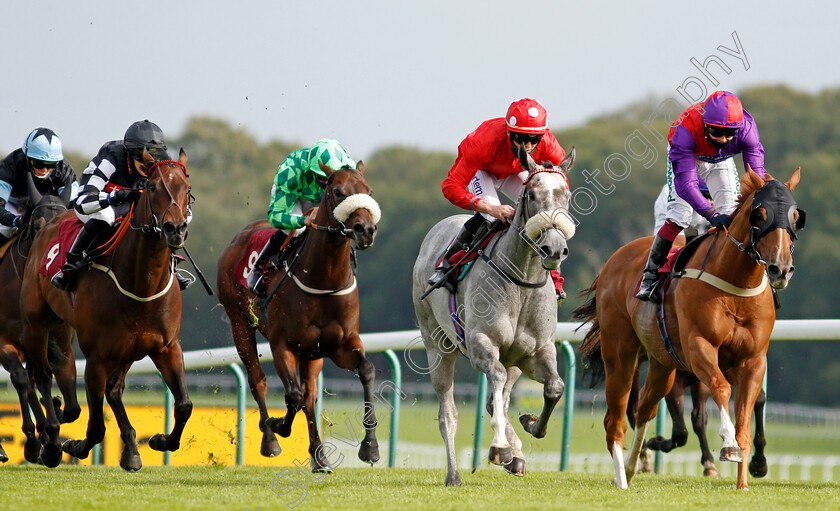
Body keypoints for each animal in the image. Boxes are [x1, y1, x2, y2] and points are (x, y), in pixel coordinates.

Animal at [0, 173, 79, 464]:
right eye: (37, 225)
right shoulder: (5, 341)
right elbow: (22, 380)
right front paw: (36, 441)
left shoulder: (58, 343)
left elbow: (69, 401)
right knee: (25, 379)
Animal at [19, 149, 194, 472]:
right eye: (153, 187)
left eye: (186, 190)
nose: (175, 229)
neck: (141, 284)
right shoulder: (96, 357)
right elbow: (97, 427)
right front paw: (72, 445)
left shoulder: (166, 347)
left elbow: (184, 405)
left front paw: (159, 441)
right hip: (37, 324)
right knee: (43, 375)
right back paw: (52, 441)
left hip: (126, 349)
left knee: (113, 389)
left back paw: (131, 450)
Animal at [217, 161, 380, 472]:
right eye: (337, 191)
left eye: (369, 191)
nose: (365, 229)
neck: (323, 278)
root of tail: (238, 238)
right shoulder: (282, 344)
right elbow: (291, 394)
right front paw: (277, 425)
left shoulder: (340, 344)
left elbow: (366, 371)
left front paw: (370, 447)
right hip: (239, 323)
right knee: (259, 380)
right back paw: (270, 440)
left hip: (312, 352)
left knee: (310, 394)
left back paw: (320, 457)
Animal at [414, 146, 576, 486]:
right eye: (531, 195)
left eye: (565, 195)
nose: (554, 249)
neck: (521, 280)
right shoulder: (481, 344)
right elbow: (496, 380)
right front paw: (500, 446)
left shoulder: (537, 351)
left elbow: (554, 387)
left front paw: (530, 425)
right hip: (436, 345)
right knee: (448, 413)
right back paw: (454, 474)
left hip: (513, 358)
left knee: (496, 398)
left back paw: (517, 456)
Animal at [576, 169, 804, 492]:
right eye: (759, 215)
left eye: (796, 217)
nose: (780, 269)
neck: (735, 284)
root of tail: (614, 259)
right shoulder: (699, 346)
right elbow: (720, 389)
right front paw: (728, 444)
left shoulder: (753, 360)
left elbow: (746, 416)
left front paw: (744, 481)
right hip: (620, 353)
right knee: (616, 419)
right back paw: (621, 477)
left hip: (662, 364)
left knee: (645, 408)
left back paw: (633, 466)